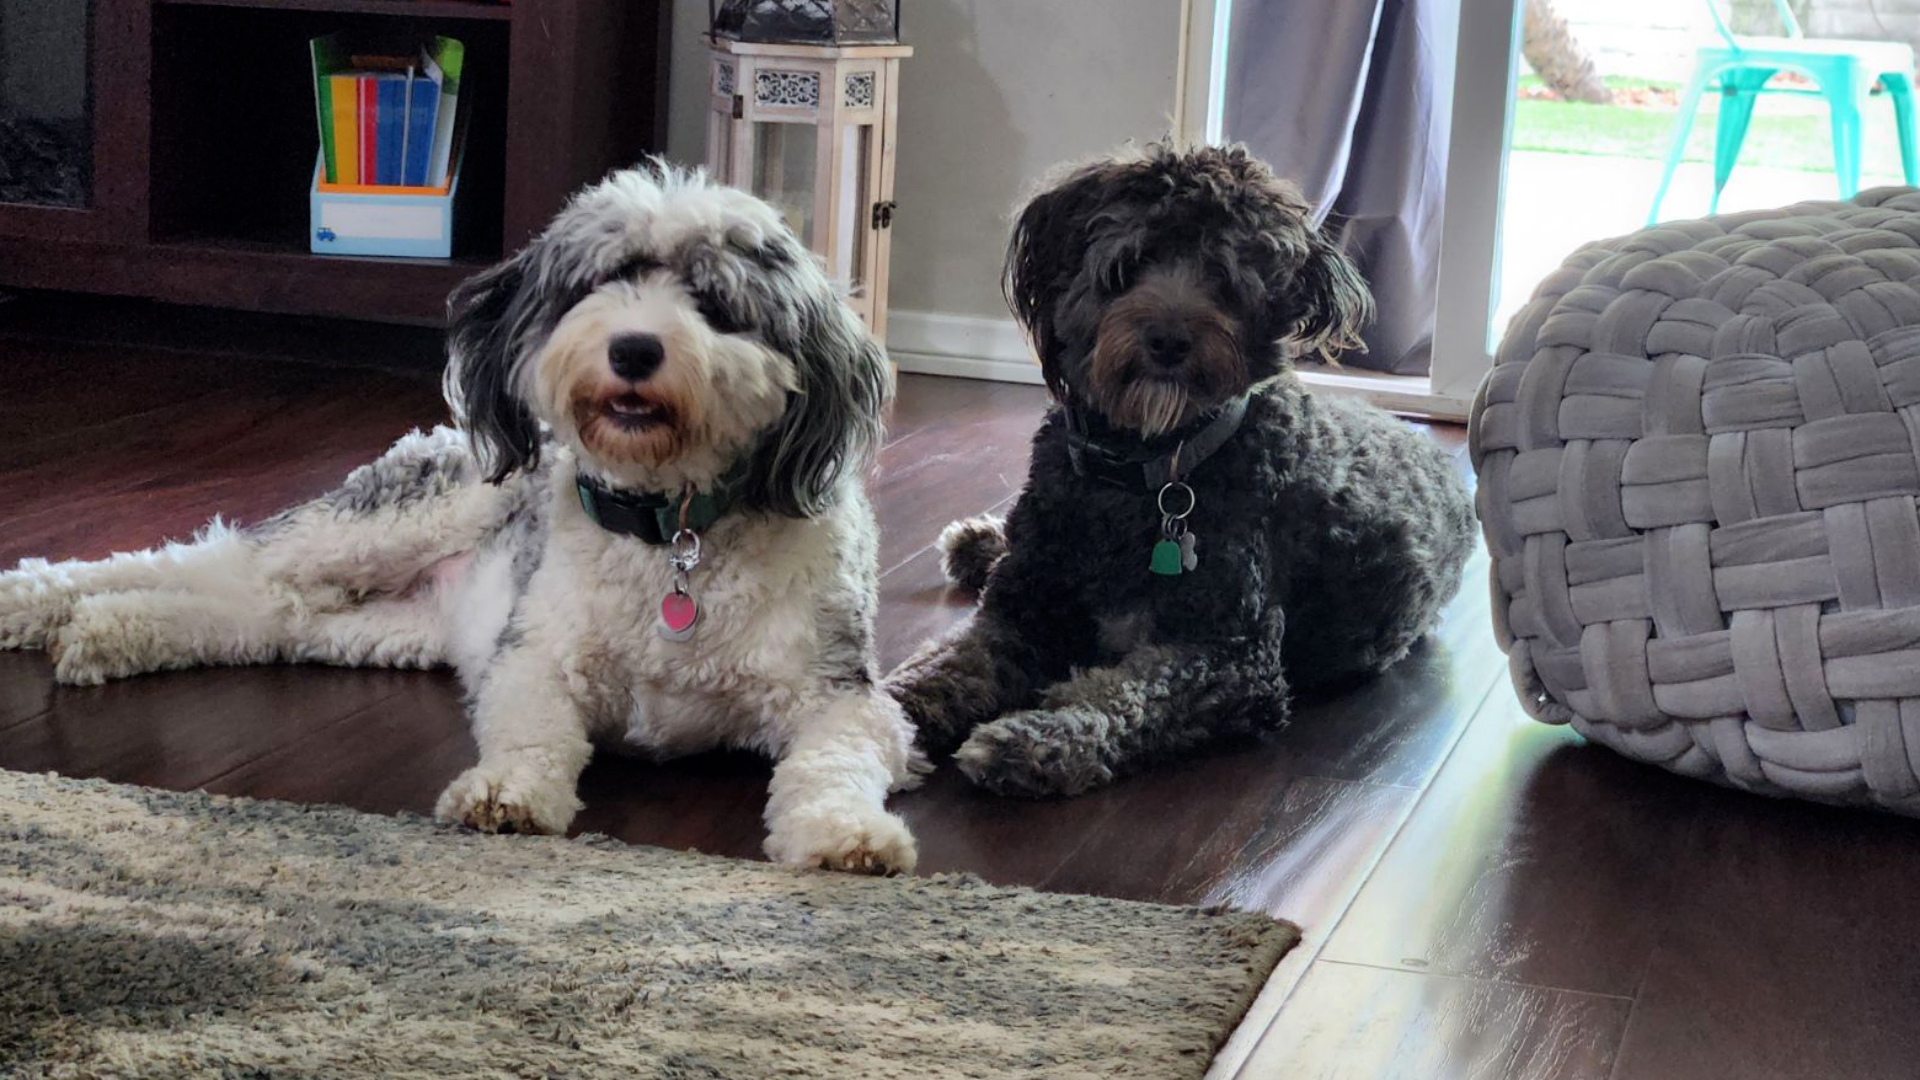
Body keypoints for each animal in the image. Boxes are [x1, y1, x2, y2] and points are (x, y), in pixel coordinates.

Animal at [0, 166, 921, 876]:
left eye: (714, 298)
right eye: (599, 282)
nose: (633, 349)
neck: (673, 534)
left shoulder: (841, 695)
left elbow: (834, 762)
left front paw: (847, 835)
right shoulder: (537, 658)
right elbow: (532, 733)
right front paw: (505, 793)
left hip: (378, 624)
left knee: (258, 616)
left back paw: (108, 632)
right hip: (384, 526)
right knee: (209, 560)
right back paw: (37, 603)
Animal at [879, 143, 1474, 795]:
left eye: (1228, 280)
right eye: (1128, 263)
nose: (1168, 339)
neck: (1146, 468)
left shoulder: (1232, 655)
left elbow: (1125, 695)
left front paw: (1037, 738)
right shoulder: (1020, 610)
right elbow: (948, 663)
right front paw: (877, 716)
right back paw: (978, 540)